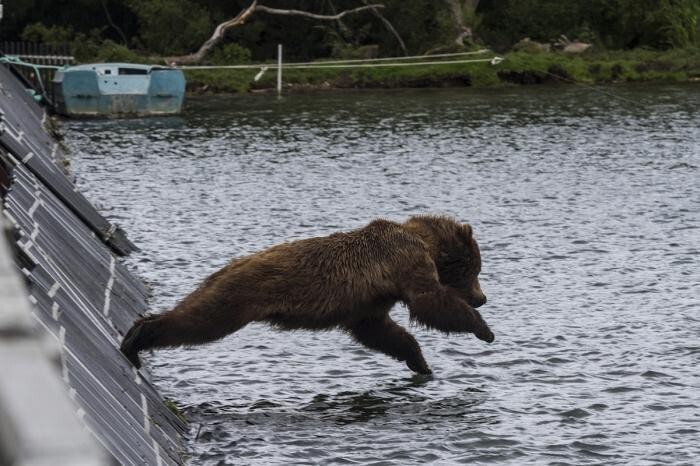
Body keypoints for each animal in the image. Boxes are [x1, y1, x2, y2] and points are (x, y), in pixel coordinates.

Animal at [120, 216, 492, 374]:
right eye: (475, 269)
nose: (482, 298)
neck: (427, 243)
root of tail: (227, 266)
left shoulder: (369, 302)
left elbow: (379, 330)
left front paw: (419, 362)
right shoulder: (404, 263)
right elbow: (430, 302)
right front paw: (483, 329)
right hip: (237, 298)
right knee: (198, 320)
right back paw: (136, 339)